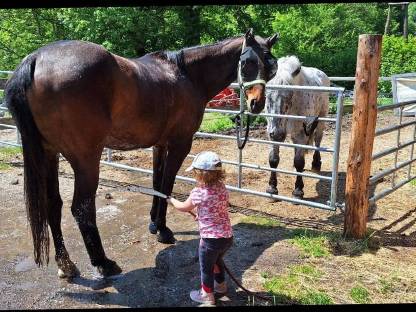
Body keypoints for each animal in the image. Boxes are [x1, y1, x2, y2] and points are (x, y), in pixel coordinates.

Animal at [4, 29, 278, 278]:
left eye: (271, 67)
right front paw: (164, 230)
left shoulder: (160, 145)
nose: (256, 104)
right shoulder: (180, 144)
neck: (187, 76)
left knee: (54, 205)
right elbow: (167, 185)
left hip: (49, 155)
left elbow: (157, 183)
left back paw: (66, 264)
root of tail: (37, 59)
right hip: (85, 160)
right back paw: (103, 263)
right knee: (81, 208)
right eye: (248, 62)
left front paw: (154, 223)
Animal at [266, 54, 328, 199]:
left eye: (290, 95)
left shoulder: (300, 134)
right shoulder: (272, 133)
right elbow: (273, 159)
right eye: (267, 95)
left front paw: (298, 191)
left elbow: (299, 161)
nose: (278, 135)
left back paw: (316, 163)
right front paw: (272, 187)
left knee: (317, 140)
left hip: (321, 119)